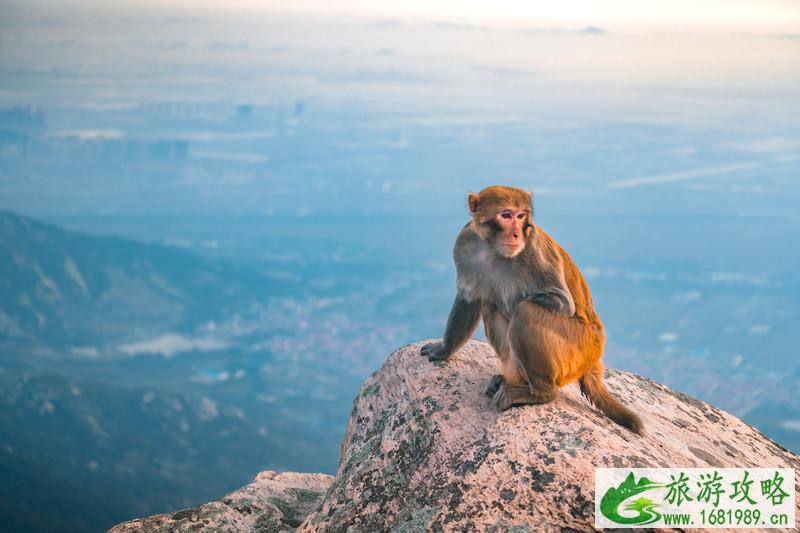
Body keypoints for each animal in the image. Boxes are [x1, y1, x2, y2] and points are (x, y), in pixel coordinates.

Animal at [422, 185, 648, 434]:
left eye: (521, 216)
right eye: (506, 215)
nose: (516, 233)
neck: (493, 249)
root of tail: (595, 357)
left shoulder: (535, 251)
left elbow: (561, 302)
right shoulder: (465, 244)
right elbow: (469, 299)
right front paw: (443, 350)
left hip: (579, 348)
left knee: (523, 311)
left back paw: (539, 393)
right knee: (493, 311)